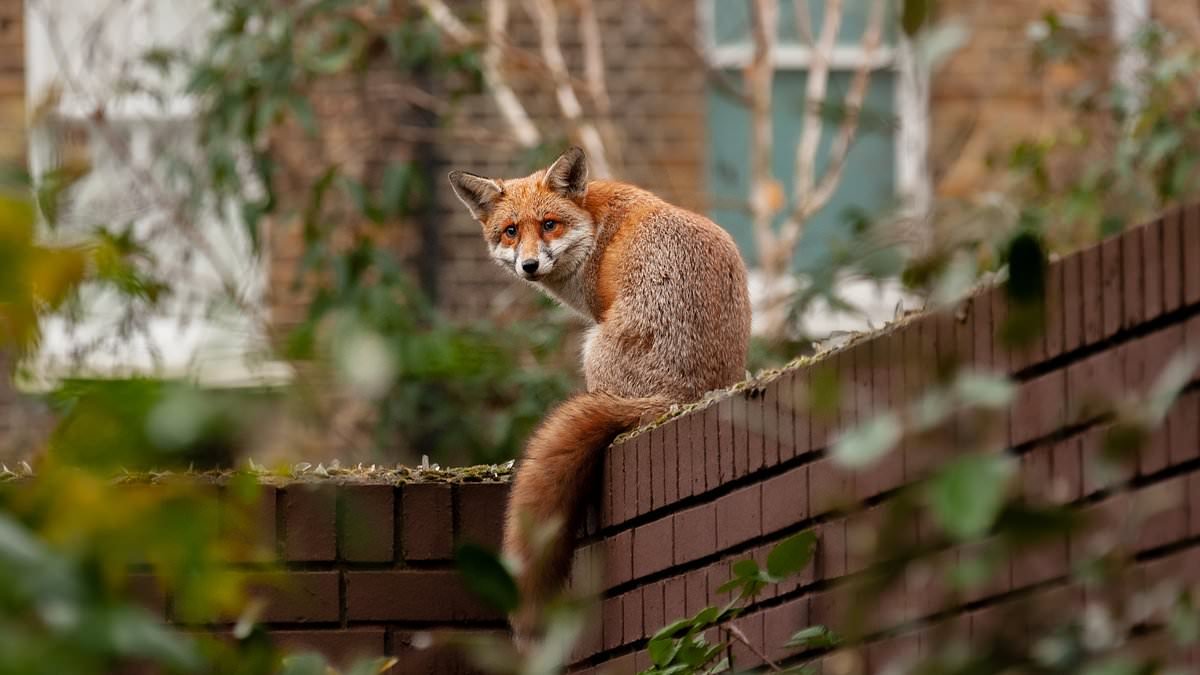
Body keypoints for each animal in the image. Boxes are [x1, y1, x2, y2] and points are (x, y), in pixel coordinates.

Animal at [448, 146, 751, 641]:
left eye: (549, 224)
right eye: (510, 231)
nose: (529, 266)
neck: (594, 225)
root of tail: (682, 396)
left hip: (591, 349)